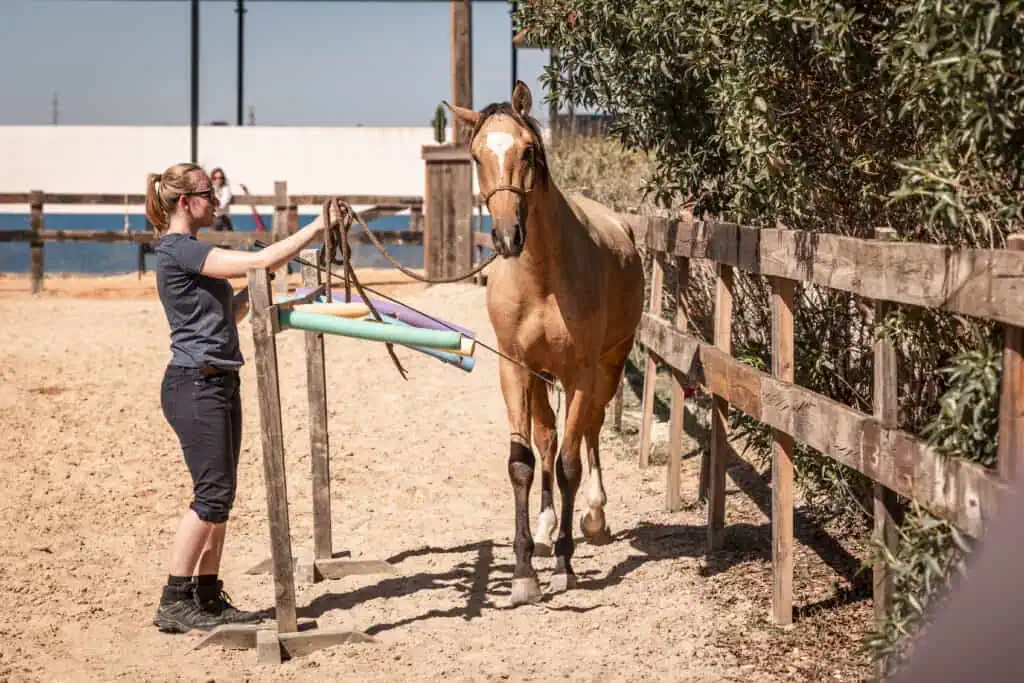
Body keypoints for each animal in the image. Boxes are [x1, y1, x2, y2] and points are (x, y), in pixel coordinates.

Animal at [445, 81, 646, 605]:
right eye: (475, 156)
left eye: (528, 151)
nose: (506, 237)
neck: (541, 277)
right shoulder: (514, 367)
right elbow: (524, 462)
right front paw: (523, 572)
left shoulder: (581, 373)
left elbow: (570, 463)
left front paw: (563, 562)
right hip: (539, 377)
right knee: (548, 437)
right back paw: (545, 523)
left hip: (609, 366)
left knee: (590, 431)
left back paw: (594, 516)